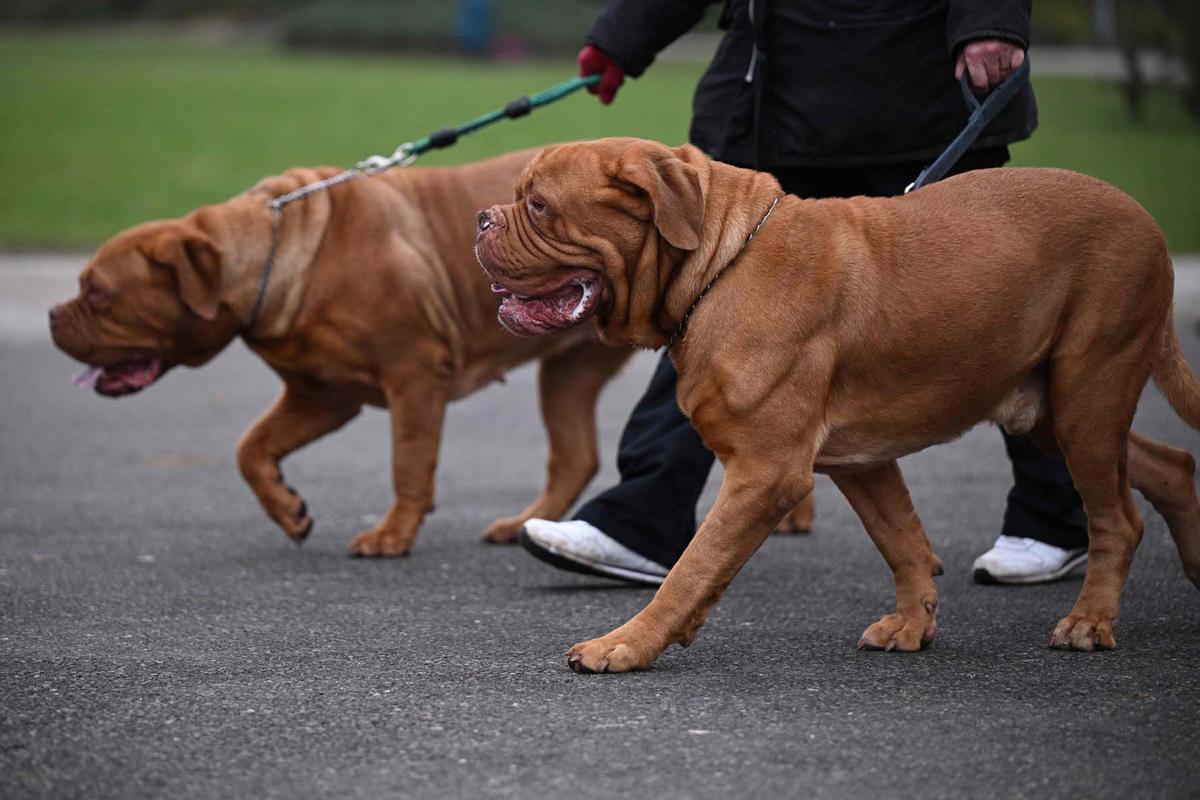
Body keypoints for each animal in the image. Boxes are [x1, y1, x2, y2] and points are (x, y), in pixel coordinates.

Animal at [48, 149, 633, 556]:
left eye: (97, 293)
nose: (52, 314)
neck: (274, 258)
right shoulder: (322, 395)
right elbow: (250, 447)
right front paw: (287, 509)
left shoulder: (415, 375)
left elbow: (408, 463)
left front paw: (393, 534)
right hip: (568, 372)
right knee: (574, 456)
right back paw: (524, 527)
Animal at [477, 137, 1200, 671]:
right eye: (515, 199)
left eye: (537, 205)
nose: (480, 219)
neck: (718, 266)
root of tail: (1146, 219)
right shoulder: (861, 461)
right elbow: (902, 540)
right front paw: (911, 624)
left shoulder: (766, 473)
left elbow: (692, 564)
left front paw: (624, 644)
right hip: (1053, 411)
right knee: (1169, 467)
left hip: (1088, 395)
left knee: (1119, 519)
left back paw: (1088, 621)